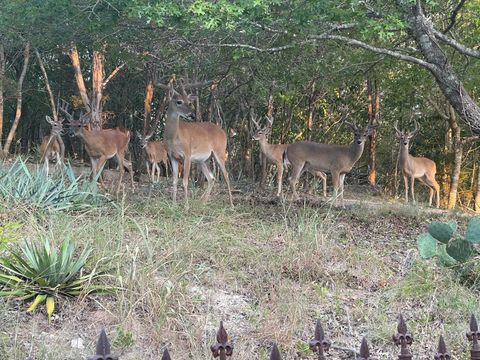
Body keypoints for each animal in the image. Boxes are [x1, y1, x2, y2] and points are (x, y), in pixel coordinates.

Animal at [155, 79, 233, 208]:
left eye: (189, 102)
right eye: (179, 102)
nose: (192, 115)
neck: (174, 137)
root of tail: (223, 132)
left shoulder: (187, 154)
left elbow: (185, 181)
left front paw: (186, 206)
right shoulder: (172, 156)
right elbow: (174, 181)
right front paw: (174, 204)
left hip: (220, 151)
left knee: (226, 175)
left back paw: (231, 205)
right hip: (203, 159)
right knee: (211, 178)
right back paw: (202, 203)